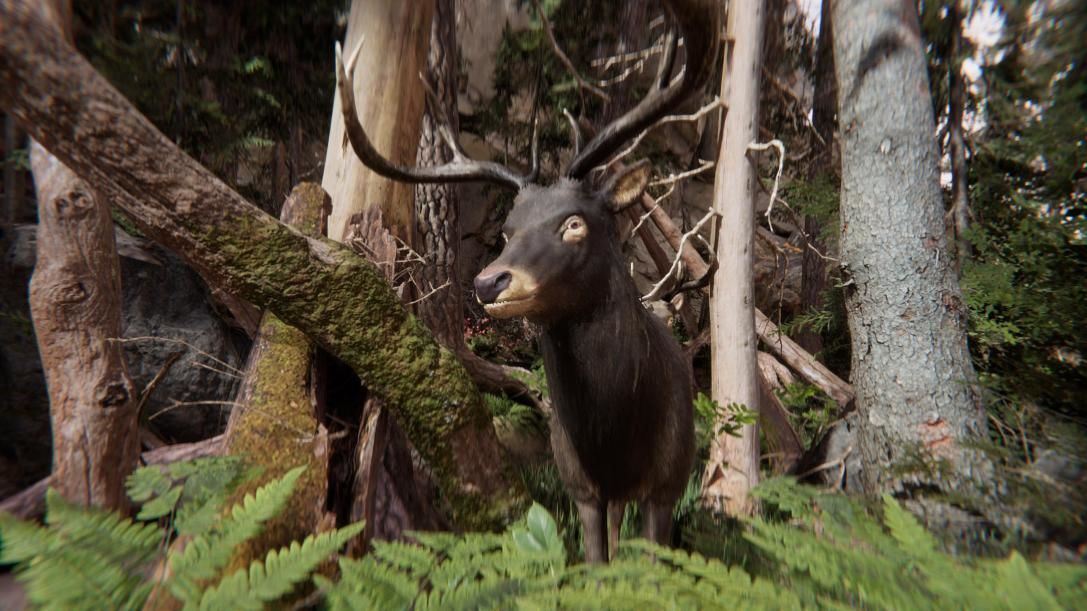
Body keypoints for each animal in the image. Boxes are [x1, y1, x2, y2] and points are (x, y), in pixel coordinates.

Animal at [334, 0, 720, 563]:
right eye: (507, 229)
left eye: (574, 222)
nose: (489, 282)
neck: (616, 439)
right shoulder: (579, 487)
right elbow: (595, 563)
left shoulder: (668, 485)